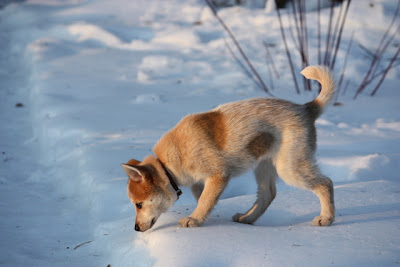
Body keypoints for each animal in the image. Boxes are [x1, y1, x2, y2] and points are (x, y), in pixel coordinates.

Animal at [121, 65, 334, 232]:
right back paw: (247, 218)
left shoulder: (219, 175)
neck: (168, 164)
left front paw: (194, 219)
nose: (136, 228)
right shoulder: (200, 181)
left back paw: (326, 218)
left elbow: (205, 200)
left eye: (138, 204)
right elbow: (203, 198)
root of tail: (305, 109)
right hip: (264, 166)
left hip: (290, 167)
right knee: (268, 194)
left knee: (326, 183)